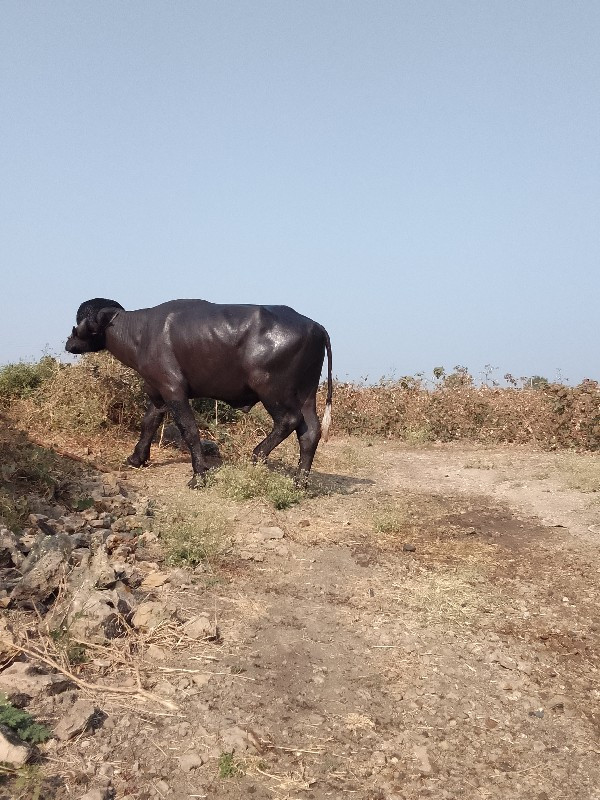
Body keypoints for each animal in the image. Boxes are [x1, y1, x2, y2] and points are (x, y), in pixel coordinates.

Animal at [65, 298, 332, 488]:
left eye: (78, 326)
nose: (69, 343)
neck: (140, 333)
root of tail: (316, 327)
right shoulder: (158, 393)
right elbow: (149, 422)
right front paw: (136, 458)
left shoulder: (174, 390)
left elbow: (189, 431)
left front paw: (199, 475)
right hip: (307, 395)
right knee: (310, 432)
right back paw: (300, 483)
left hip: (272, 390)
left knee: (288, 420)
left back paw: (256, 456)